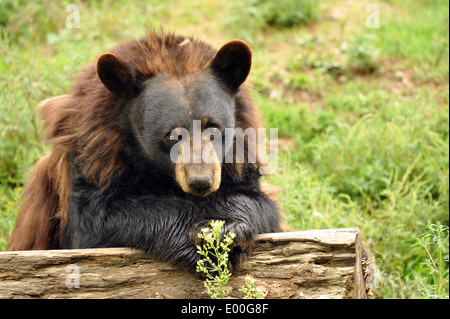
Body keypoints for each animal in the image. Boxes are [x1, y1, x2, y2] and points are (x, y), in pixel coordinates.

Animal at [7, 30, 280, 272]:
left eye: (213, 128)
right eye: (172, 135)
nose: (201, 181)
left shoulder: (239, 155)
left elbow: (258, 203)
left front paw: (226, 229)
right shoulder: (93, 155)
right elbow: (99, 219)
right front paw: (200, 238)